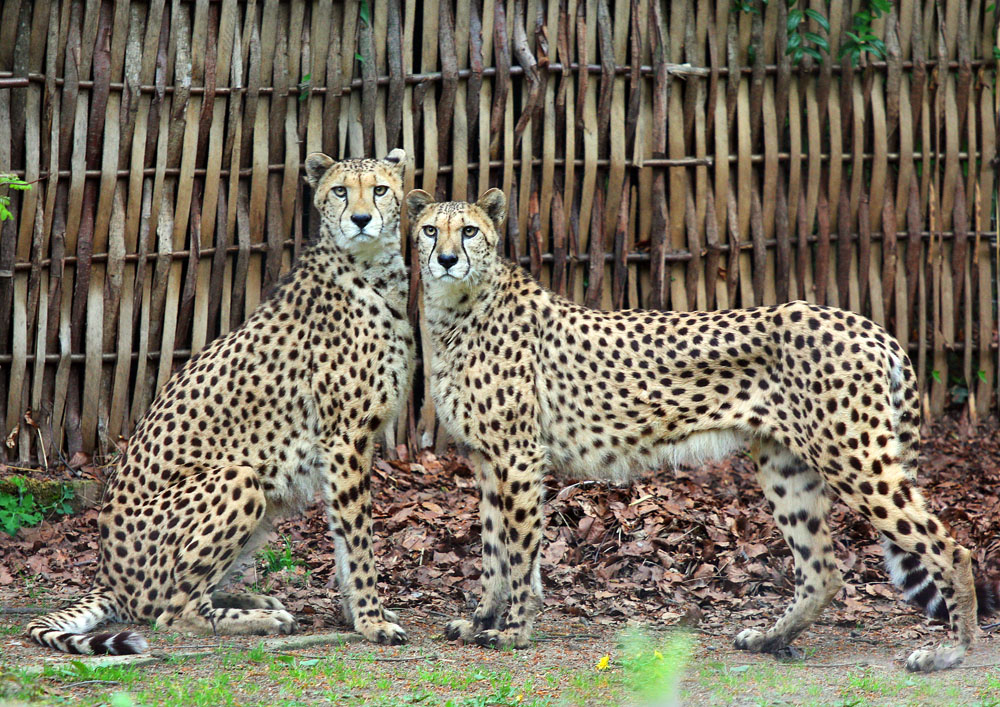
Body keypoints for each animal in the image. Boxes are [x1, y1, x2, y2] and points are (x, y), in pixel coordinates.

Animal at [29, 152, 414, 656]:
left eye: (381, 189)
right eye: (340, 191)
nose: (362, 219)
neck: (370, 270)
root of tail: (106, 573)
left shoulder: (344, 449)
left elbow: (345, 541)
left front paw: (358, 615)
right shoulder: (344, 442)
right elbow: (359, 541)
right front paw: (371, 621)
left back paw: (253, 600)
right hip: (240, 477)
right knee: (171, 612)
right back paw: (262, 619)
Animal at [402, 189, 996, 676]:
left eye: (469, 230)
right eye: (430, 230)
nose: (447, 259)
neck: (458, 310)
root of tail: (866, 324)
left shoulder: (519, 456)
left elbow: (520, 552)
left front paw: (515, 631)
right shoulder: (487, 460)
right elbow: (492, 549)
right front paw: (480, 620)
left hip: (853, 458)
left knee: (950, 547)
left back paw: (950, 652)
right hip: (786, 465)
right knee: (823, 569)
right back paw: (770, 639)